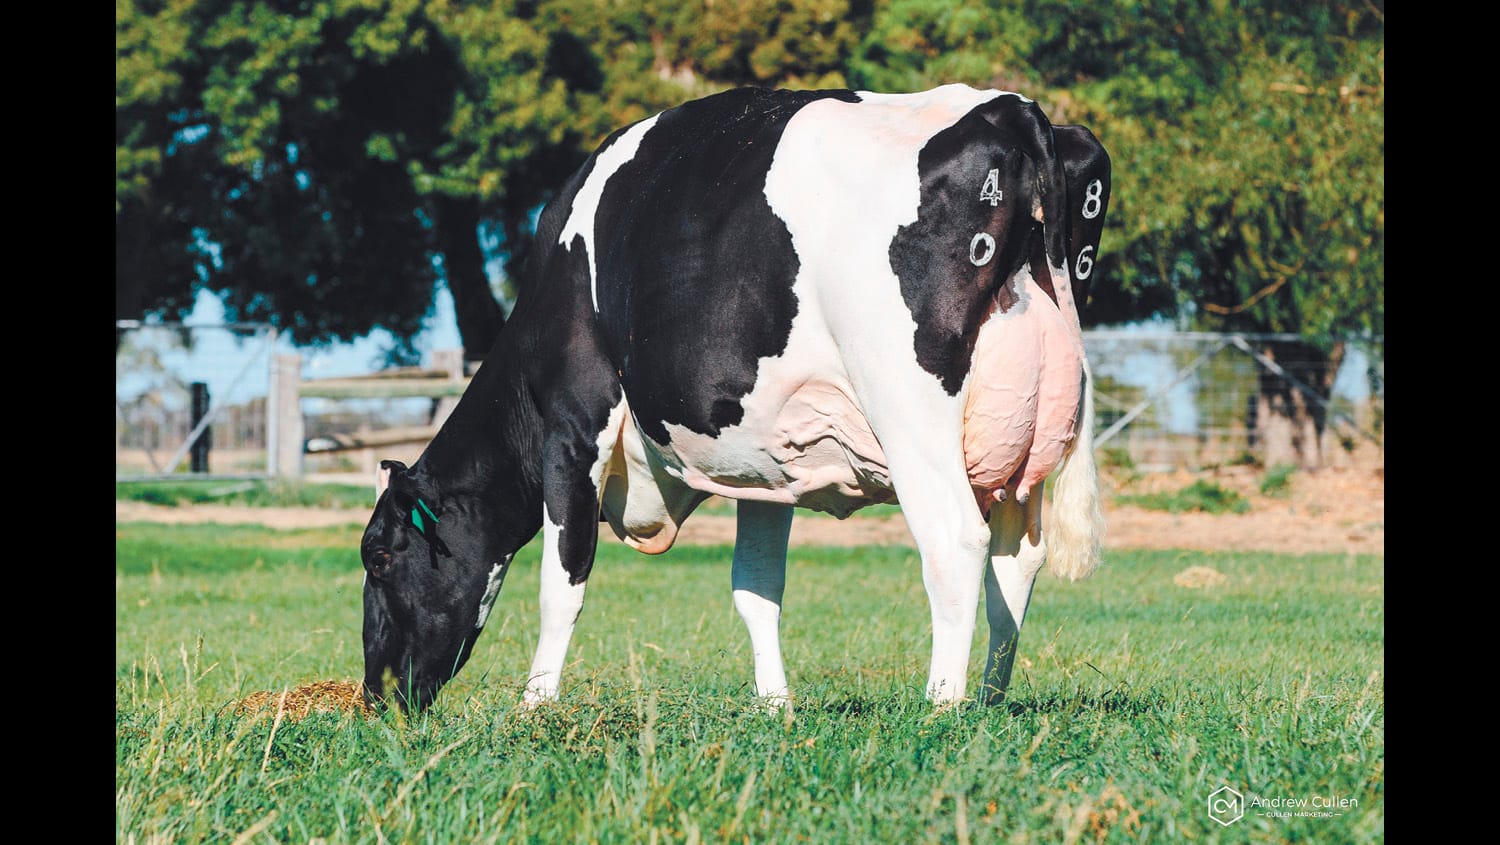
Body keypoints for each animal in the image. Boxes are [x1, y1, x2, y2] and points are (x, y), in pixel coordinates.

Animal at [360, 83, 1111, 713]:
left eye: (379, 557)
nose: (375, 691)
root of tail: (1007, 108)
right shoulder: (769, 459)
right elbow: (756, 587)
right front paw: (774, 705)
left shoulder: (575, 423)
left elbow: (561, 582)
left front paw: (534, 706)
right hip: (1024, 448)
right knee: (1017, 560)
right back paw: (989, 701)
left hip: (908, 407)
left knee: (955, 540)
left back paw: (943, 706)